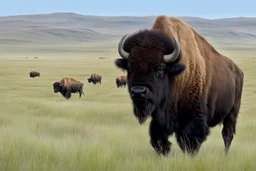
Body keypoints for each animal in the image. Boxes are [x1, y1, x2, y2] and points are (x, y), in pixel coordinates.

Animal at [114, 15, 244, 156]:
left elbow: (190, 142)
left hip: (232, 112)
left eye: (160, 68)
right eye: (129, 67)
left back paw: (224, 155)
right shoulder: (159, 119)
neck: (174, 76)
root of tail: (238, 71)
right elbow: (158, 140)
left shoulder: (193, 118)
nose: (138, 92)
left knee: (227, 134)